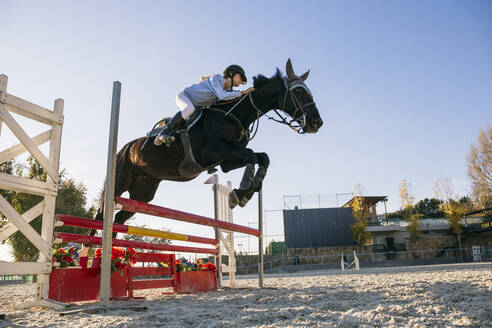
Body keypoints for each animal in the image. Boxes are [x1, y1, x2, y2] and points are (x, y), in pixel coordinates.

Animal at [93, 59, 322, 228]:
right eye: (299, 92)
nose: (316, 123)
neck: (233, 115)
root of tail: (123, 150)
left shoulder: (227, 160)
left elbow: (262, 157)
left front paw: (248, 190)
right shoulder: (212, 152)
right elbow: (250, 155)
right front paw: (241, 192)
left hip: (142, 193)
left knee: (118, 219)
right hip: (119, 183)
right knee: (101, 215)